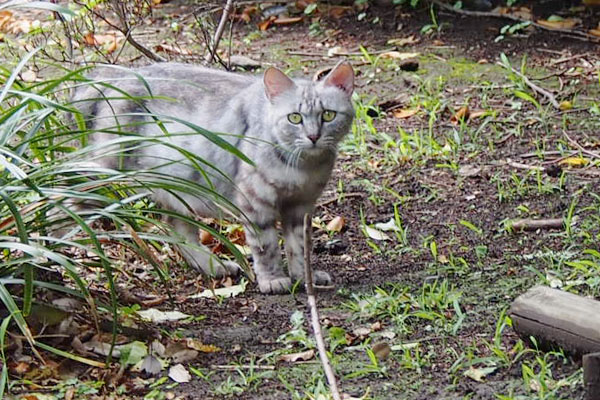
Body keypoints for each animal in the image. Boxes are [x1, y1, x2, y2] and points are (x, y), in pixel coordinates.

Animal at [71, 61, 354, 294]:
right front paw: (273, 279)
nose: (313, 136)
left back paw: (212, 265)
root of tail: (117, 74)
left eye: (328, 115)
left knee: (178, 230)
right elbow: (267, 246)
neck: (304, 169)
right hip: (103, 172)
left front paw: (304, 277)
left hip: (176, 186)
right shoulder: (255, 201)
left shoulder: (301, 206)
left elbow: (299, 247)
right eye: (294, 118)